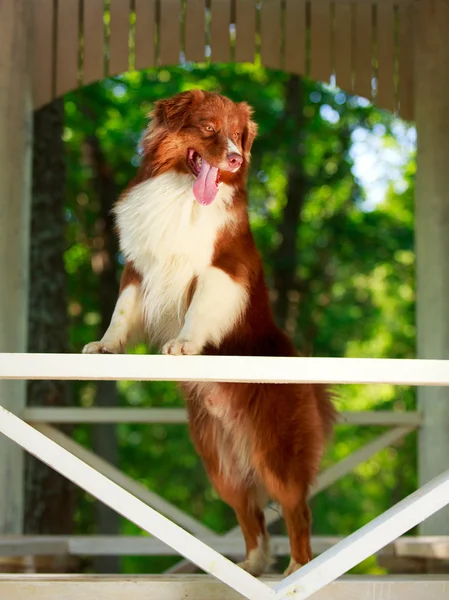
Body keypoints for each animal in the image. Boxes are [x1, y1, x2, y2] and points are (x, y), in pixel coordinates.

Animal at [83, 89, 336, 576]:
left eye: (238, 135)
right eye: (207, 128)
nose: (235, 159)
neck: (181, 190)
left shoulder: (223, 269)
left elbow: (199, 308)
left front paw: (184, 343)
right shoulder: (138, 267)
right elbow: (121, 311)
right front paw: (106, 345)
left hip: (276, 451)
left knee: (297, 508)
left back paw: (296, 570)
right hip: (222, 463)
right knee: (249, 513)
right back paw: (252, 566)